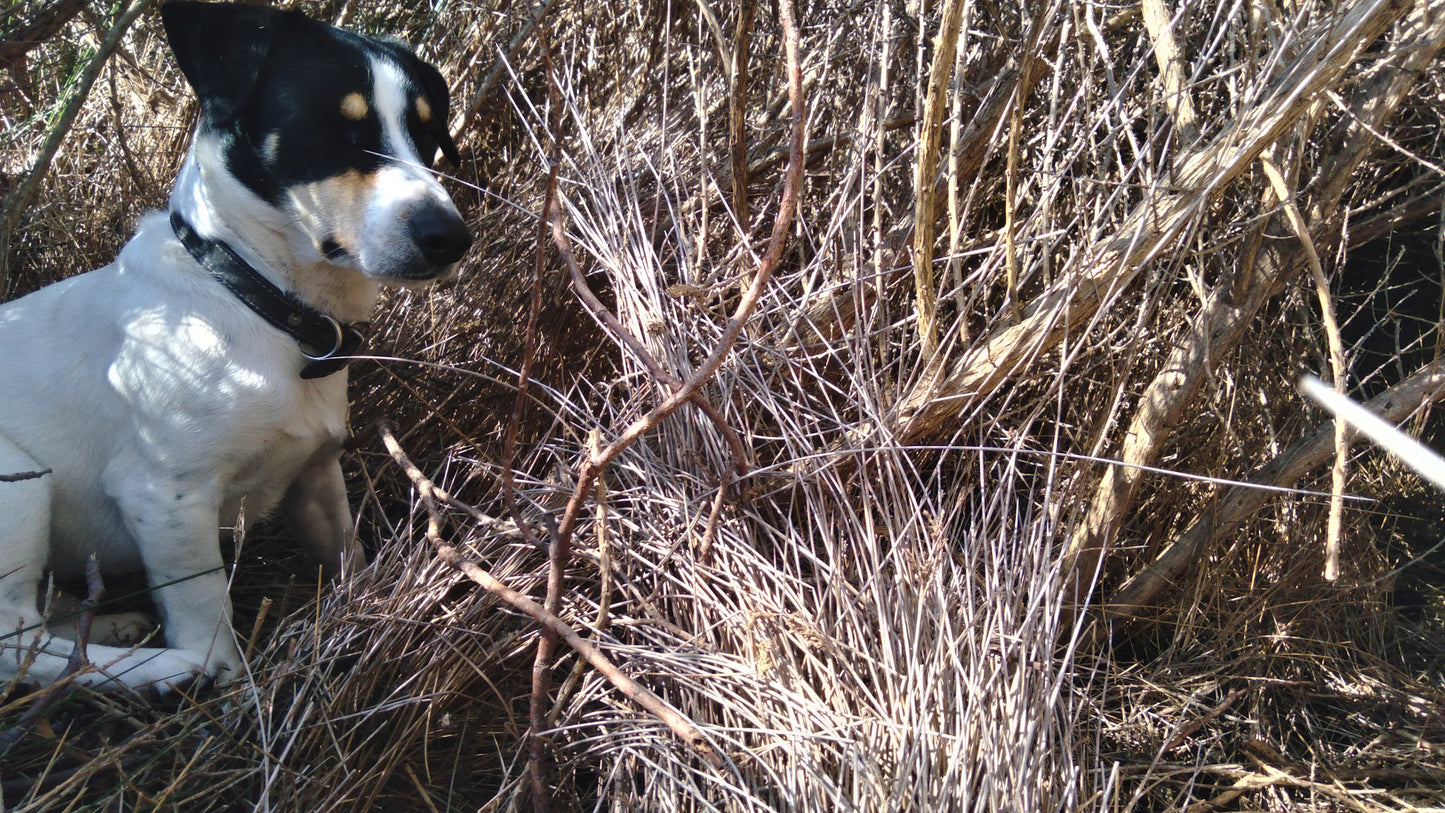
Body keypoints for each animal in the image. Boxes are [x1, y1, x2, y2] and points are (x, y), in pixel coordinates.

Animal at [0, 1, 473, 693]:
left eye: (428, 134)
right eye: (333, 129)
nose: (451, 238)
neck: (254, 296)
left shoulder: (316, 473)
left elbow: (348, 556)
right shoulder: (165, 498)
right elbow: (208, 620)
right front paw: (220, 675)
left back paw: (104, 624)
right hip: (20, 485)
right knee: (15, 644)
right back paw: (151, 668)